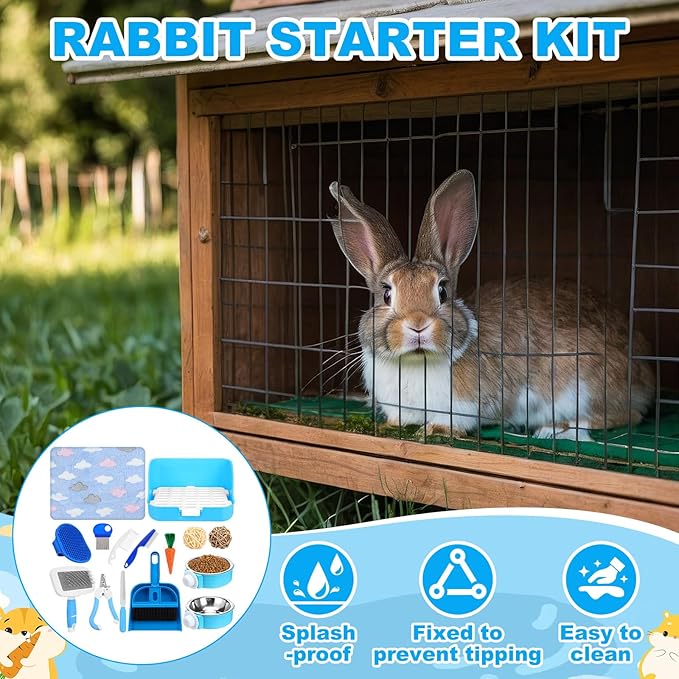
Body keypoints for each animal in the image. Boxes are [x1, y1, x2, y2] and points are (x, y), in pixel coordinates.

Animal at [329, 170, 655, 441]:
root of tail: (644, 374)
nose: (417, 325)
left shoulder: (467, 404)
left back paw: (555, 430)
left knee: (625, 416)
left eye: (442, 291)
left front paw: (435, 428)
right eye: (386, 293)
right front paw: (392, 425)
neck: (414, 361)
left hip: (585, 385)